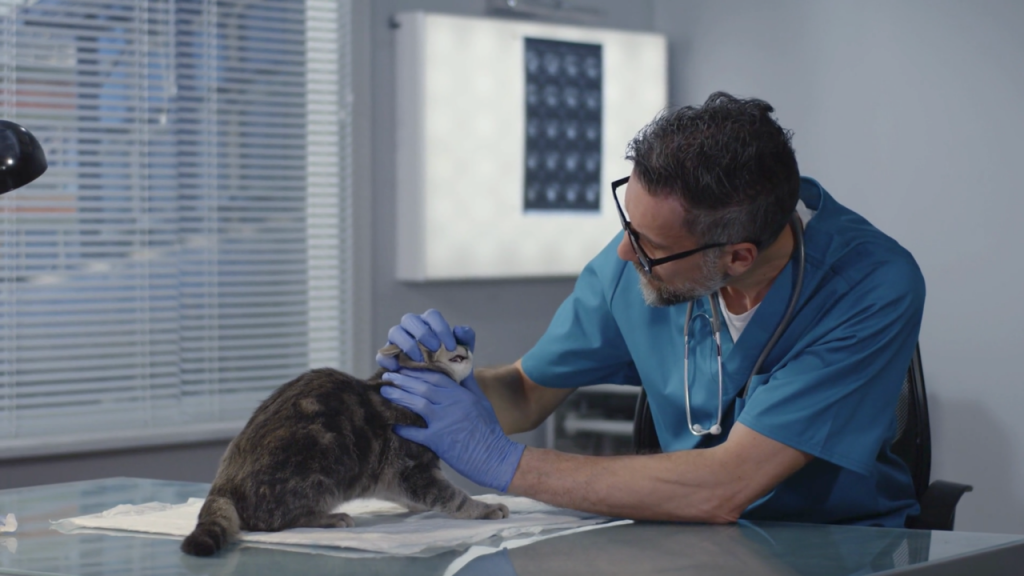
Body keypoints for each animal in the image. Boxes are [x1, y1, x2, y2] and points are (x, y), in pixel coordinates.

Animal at [182, 340, 509, 557]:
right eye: (440, 342)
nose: (464, 344)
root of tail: (223, 484)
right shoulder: (413, 467)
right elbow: (453, 496)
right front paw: (484, 508)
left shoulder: (389, 475)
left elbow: (407, 493)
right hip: (322, 462)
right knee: (273, 521)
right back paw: (328, 518)